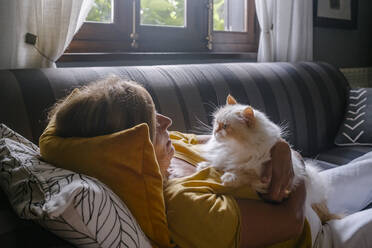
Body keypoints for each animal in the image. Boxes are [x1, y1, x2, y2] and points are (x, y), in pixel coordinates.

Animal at [196, 94, 338, 223]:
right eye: (216, 122)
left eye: (225, 126)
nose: (215, 131)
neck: (235, 148)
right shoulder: (224, 156)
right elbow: (219, 163)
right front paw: (204, 166)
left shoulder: (262, 180)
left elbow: (244, 174)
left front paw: (229, 177)